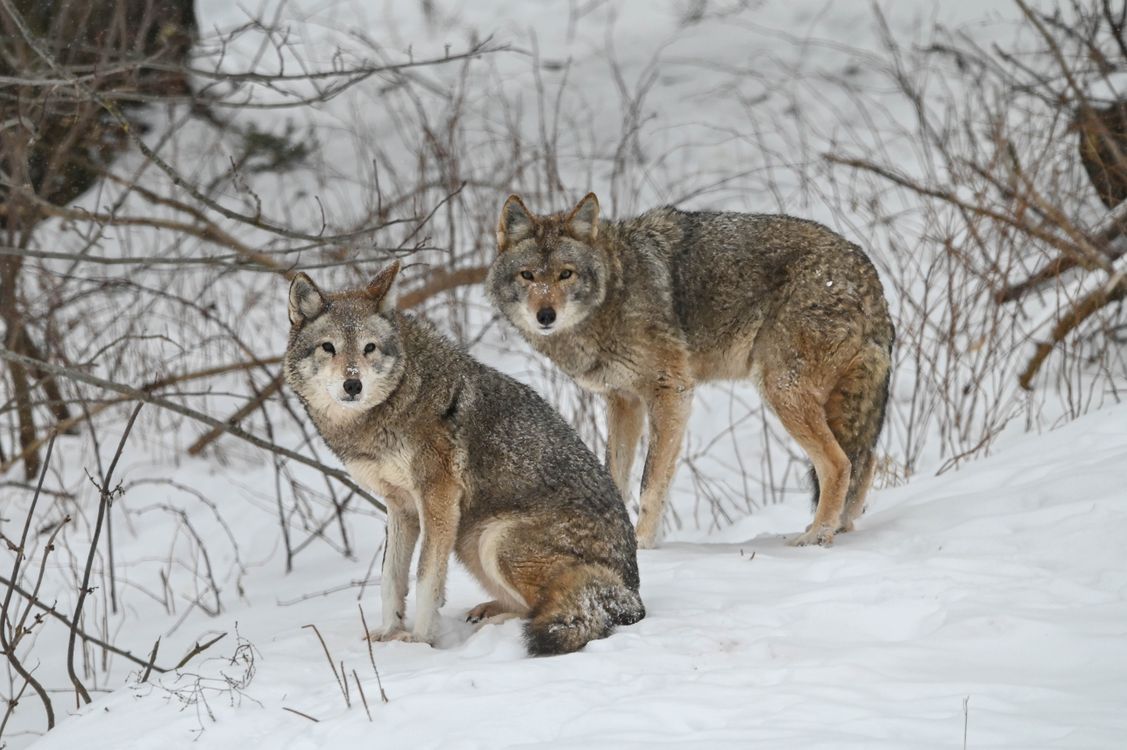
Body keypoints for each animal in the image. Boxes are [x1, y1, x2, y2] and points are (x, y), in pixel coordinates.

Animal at [284, 261, 644, 656]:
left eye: (369, 348)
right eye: (328, 348)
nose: (353, 385)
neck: (397, 401)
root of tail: (631, 591)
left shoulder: (437, 498)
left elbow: (426, 577)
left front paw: (420, 641)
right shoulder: (400, 507)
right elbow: (390, 578)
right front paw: (389, 634)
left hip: (494, 541)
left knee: (552, 607)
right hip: (470, 540)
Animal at [487, 193, 894, 548]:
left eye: (565, 275)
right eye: (527, 276)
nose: (545, 316)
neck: (614, 291)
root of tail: (869, 272)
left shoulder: (671, 391)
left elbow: (650, 484)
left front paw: (643, 545)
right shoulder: (624, 401)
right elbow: (615, 476)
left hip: (781, 391)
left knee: (839, 464)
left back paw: (816, 536)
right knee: (866, 460)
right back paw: (836, 527)